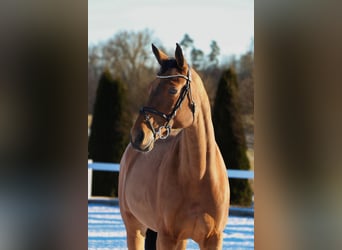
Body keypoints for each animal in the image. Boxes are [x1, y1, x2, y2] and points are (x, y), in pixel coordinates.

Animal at [118, 44, 230, 249]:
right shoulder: (167, 237)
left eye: (172, 90)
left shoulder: (213, 239)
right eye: (150, 88)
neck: (199, 175)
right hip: (135, 228)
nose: (138, 135)